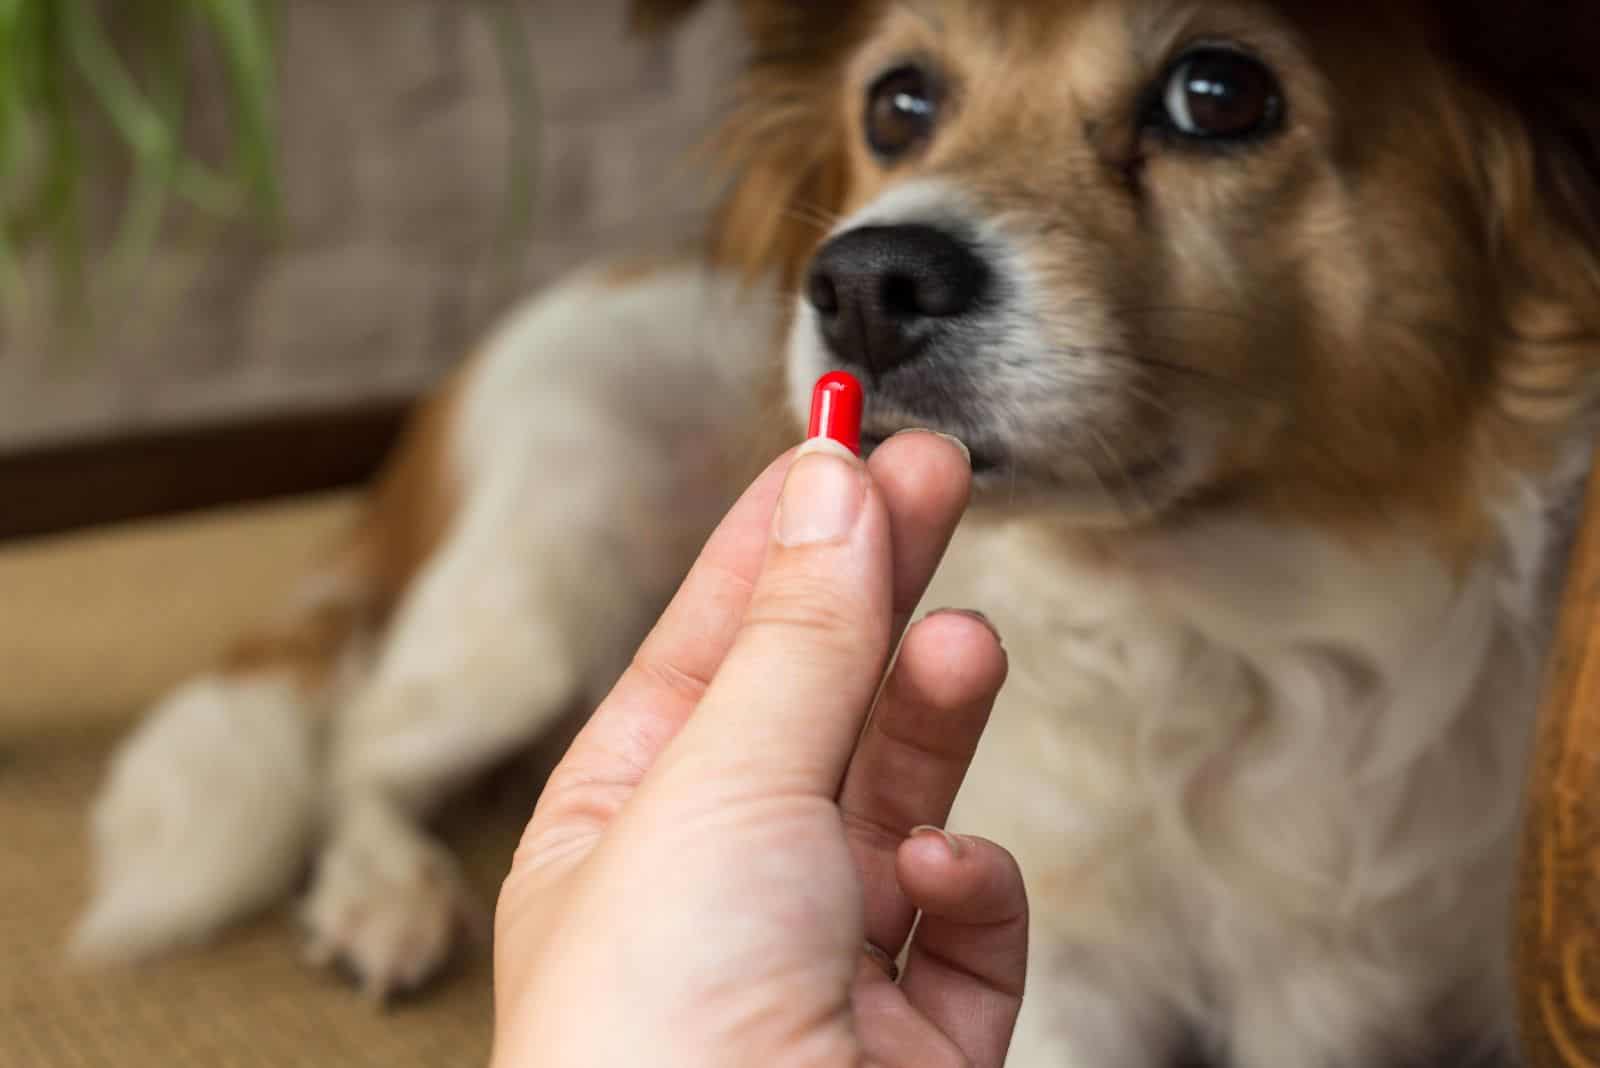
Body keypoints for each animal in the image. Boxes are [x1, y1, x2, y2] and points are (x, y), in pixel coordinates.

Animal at [68, 2, 1600, 1068]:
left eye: (1218, 93)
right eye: (898, 101)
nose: (863, 279)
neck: (1216, 622)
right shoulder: (1072, 987)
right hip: (544, 592)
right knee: (357, 743)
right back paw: (384, 893)